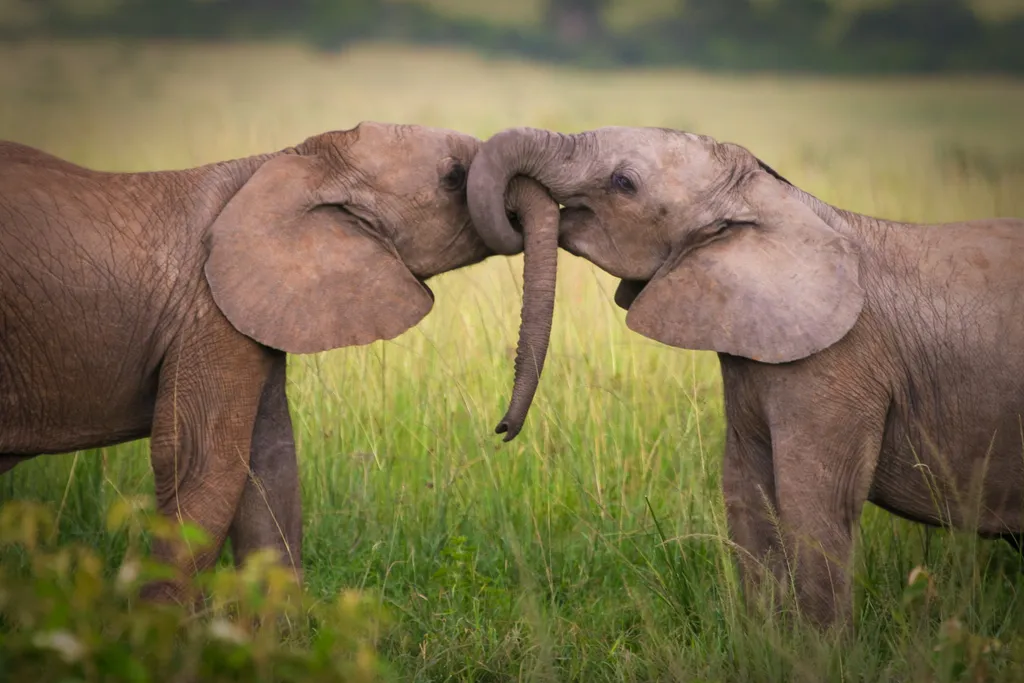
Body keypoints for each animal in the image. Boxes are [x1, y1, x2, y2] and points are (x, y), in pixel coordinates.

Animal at [0, 124, 557, 602]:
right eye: (454, 177)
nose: (501, 429)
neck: (285, 161)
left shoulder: (246, 315)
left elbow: (271, 468)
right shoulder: (210, 312)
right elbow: (206, 464)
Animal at [468, 124, 1024, 630]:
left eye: (624, 182)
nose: (502, 429)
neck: (774, 200)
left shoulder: (840, 363)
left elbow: (813, 506)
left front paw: (819, 657)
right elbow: (745, 494)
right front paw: (765, 643)